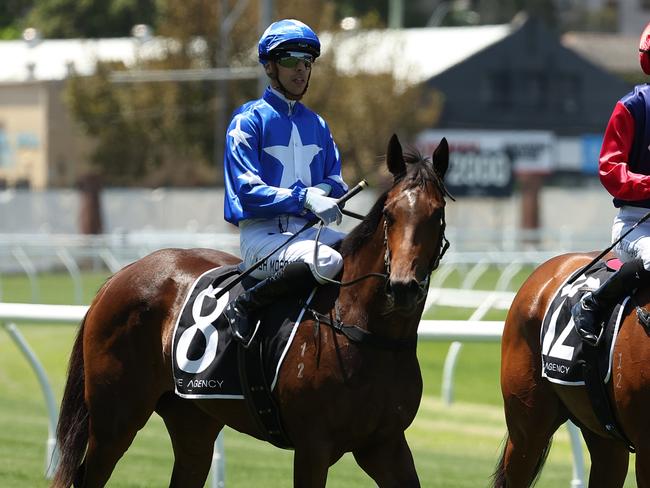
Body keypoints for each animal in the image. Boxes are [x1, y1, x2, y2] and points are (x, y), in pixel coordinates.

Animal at [52, 134, 450, 488]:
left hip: (192, 420)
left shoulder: (384, 444)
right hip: (114, 420)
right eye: (389, 214)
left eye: (437, 214)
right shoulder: (313, 447)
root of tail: (118, 277)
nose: (402, 286)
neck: (365, 331)